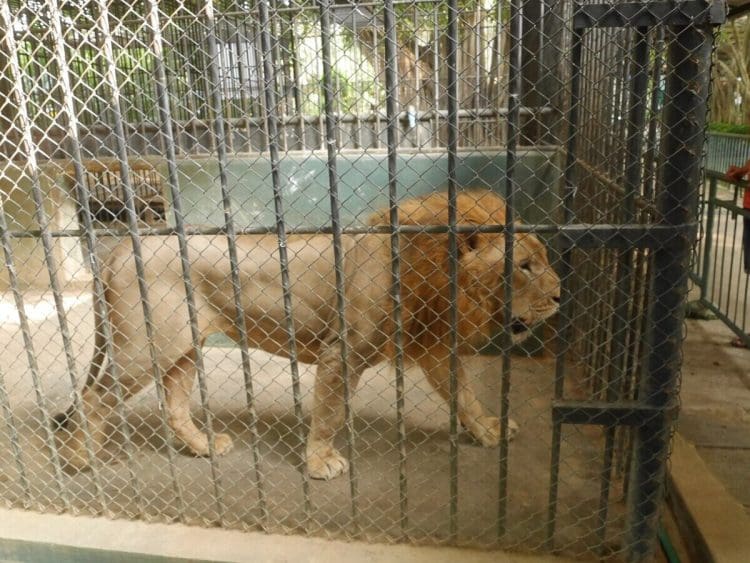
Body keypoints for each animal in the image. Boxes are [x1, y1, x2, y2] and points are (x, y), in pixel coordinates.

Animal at [55, 189, 560, 480]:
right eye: (524, 265)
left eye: (542, 258)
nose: (560, 295)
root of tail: (124, 246)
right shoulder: (344, 353)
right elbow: (331, 413)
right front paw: (320, 462)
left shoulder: (434, 345)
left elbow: (464, 395)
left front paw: (490, 429)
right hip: (145, 347)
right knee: (94, 397)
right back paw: (78, 459)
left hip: (184, 348)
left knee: (173, 404)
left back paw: (204, 447)